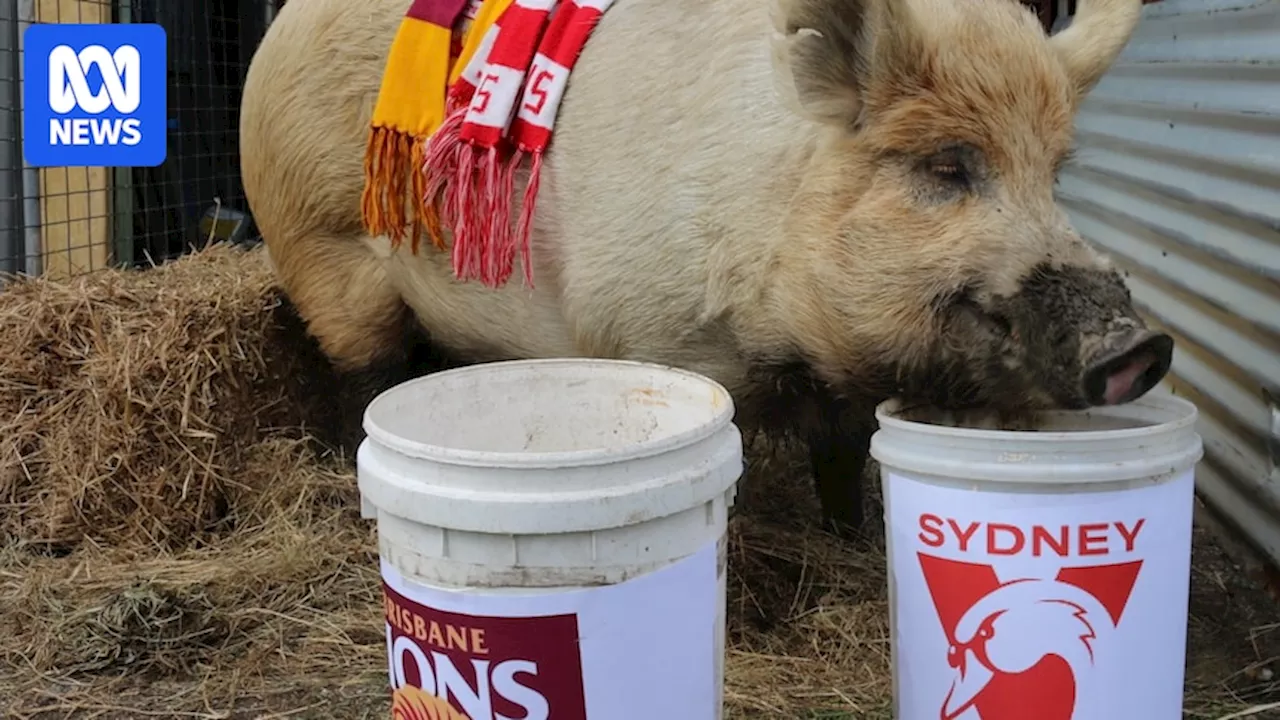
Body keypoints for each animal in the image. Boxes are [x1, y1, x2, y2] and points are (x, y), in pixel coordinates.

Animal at [238, 0, 1172, 532]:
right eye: (947, 167)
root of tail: (274, 30)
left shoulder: (835, 379)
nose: (1143, 347)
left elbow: (841, 458)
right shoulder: (655, 336)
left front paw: (852, 540)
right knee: (364, 373)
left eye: (1054, 176)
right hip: (322, 244)